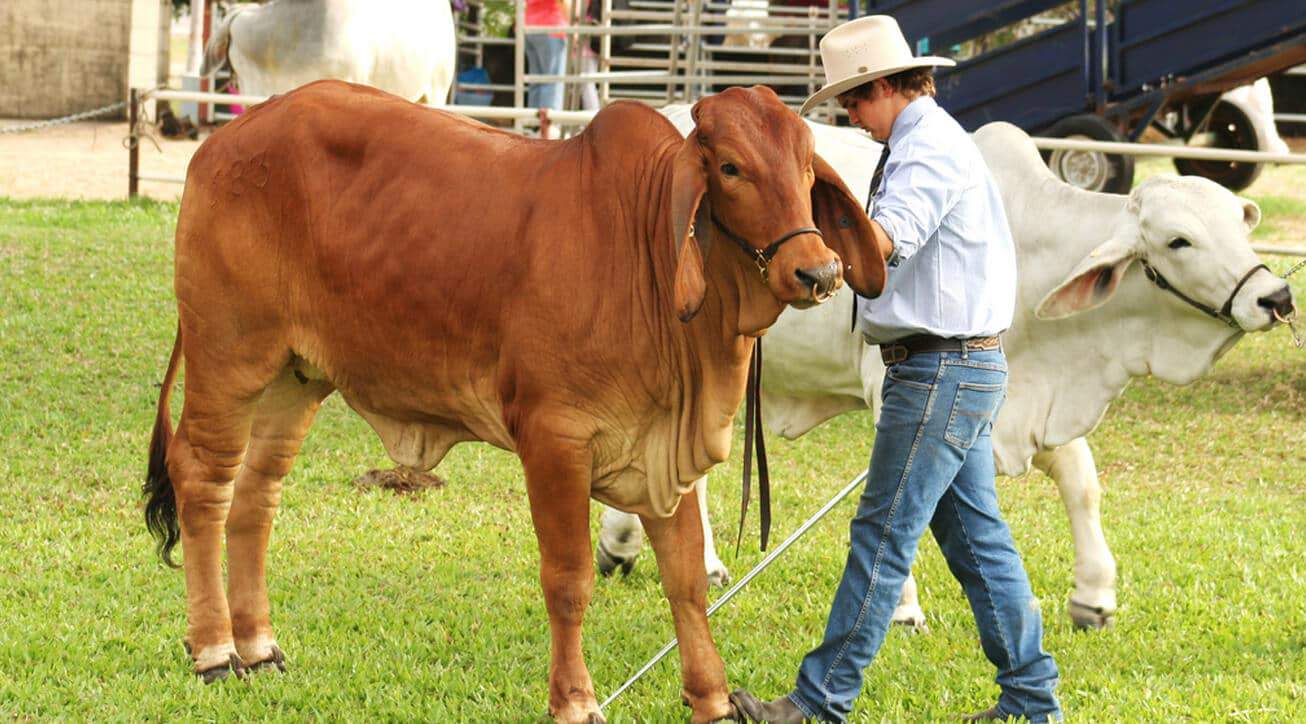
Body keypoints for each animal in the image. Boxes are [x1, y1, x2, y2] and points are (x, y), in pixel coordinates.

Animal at [141, 80, 884, 722]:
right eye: (730, 167)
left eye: (806, 167)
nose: (819, 272)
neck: (640, 253)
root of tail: (223, 142)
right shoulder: (554, 439)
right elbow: (569, 579)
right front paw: (576, 700)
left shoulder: (663, 451)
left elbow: (687, 584)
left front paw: (712, 700)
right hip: (229, 358)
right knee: (204, 483)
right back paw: (214, 651)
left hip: (294, 379)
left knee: (256, 495)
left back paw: (258, 646)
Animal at [599, 115, 1295, 630]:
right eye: (1179, 241)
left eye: (1238, 222)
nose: (1277, 296)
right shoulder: (896, 389)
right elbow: (900, 498)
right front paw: (904, 610)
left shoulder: (1021, 399)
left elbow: (1081, 480)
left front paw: (1093, 596)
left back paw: (660, 551)